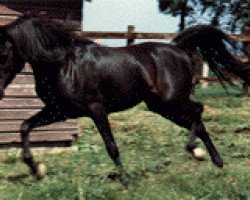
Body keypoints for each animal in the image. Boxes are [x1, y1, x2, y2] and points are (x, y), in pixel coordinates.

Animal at [0, 14, 248, 179]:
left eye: (5, 51)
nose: (0, 90)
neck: (62, 64)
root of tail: (177, 47)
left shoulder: (95, 108)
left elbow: (111, 145)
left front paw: (124, 179)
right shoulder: (60, 111)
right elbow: (24, 126)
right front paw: (36, 169)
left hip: (172, 100)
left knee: (198, 109)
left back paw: (194, 150)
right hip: (161, 107)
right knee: (199, 122)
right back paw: (214, 161)